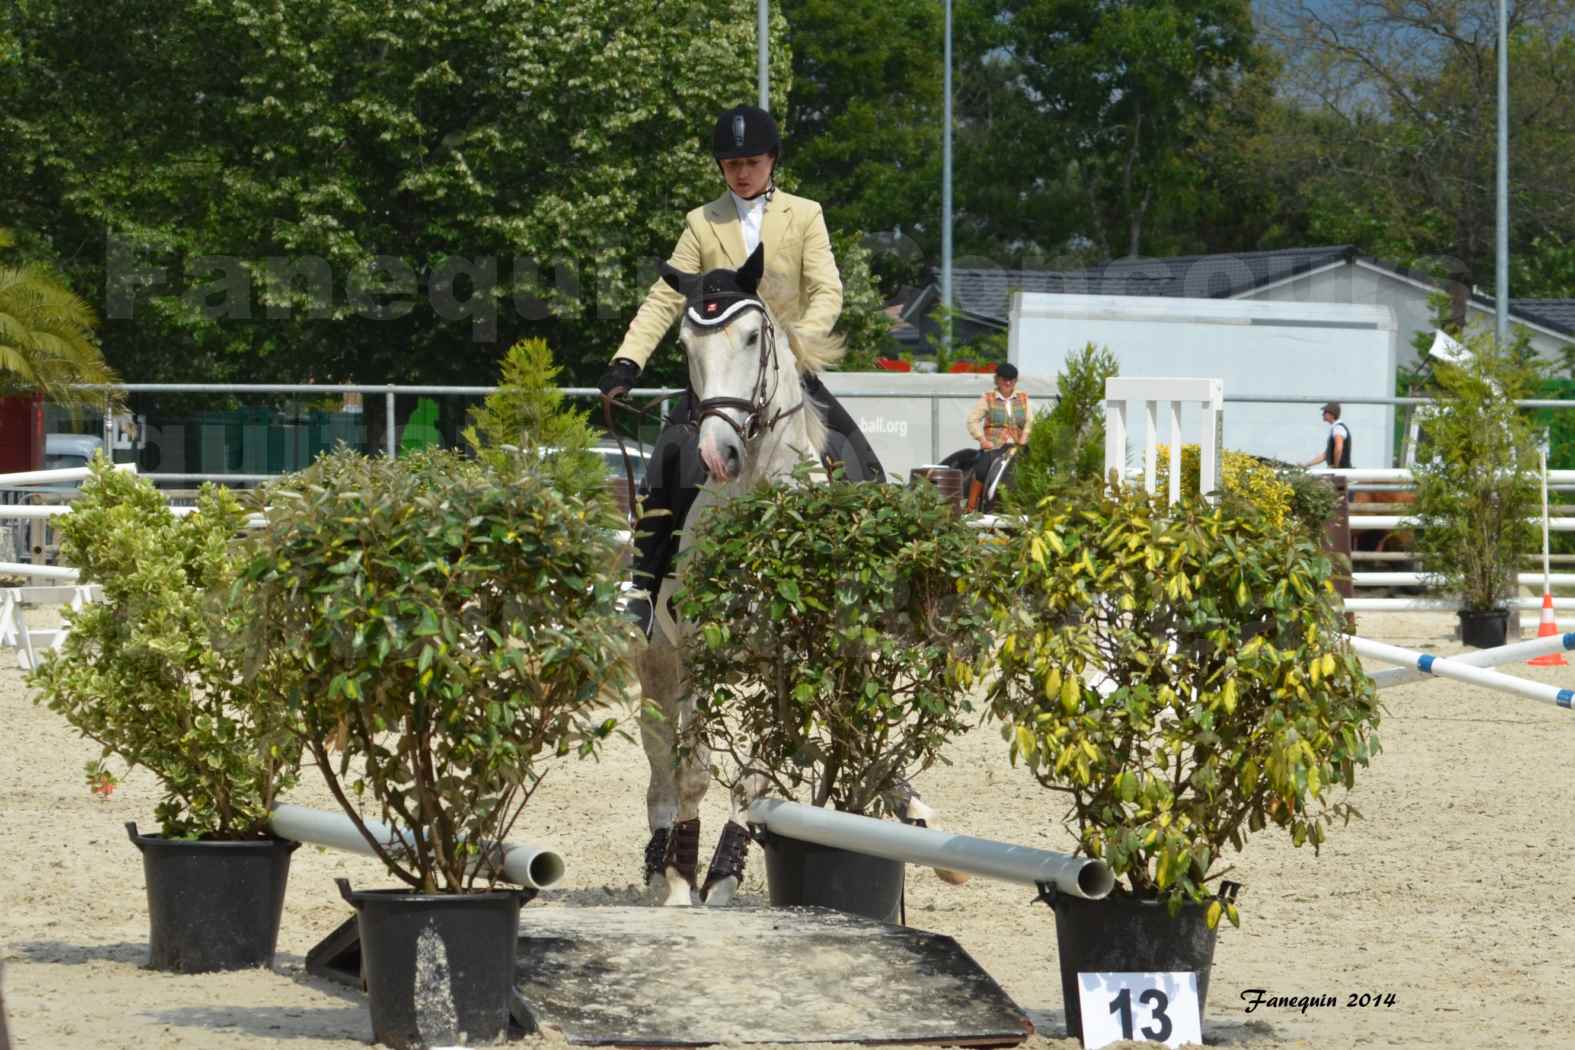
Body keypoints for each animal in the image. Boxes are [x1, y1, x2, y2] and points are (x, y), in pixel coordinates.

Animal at [630, 250, 957, 906]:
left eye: (754, 337)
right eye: (685, 345)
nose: (718, 453)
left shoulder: (793, 661)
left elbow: (753, 777)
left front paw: (723, 876)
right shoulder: (701, 654)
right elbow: (694, 770)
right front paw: (681, 876)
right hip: (658, 657)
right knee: (660, 762)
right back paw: (659, 865)